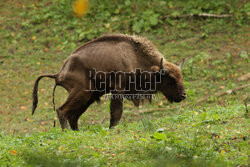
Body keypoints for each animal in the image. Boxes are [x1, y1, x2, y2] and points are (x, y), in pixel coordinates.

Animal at [31, 33, 186, 130]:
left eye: (180, 76)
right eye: (171, 79)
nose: (183, 95)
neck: (134, 56)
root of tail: (59, 73)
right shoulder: (117, 90)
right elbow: (116, 113)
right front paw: (112, 130)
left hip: (89, 96)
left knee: (73, 116)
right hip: (82, 92)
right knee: (62, 110)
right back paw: (67, 133)